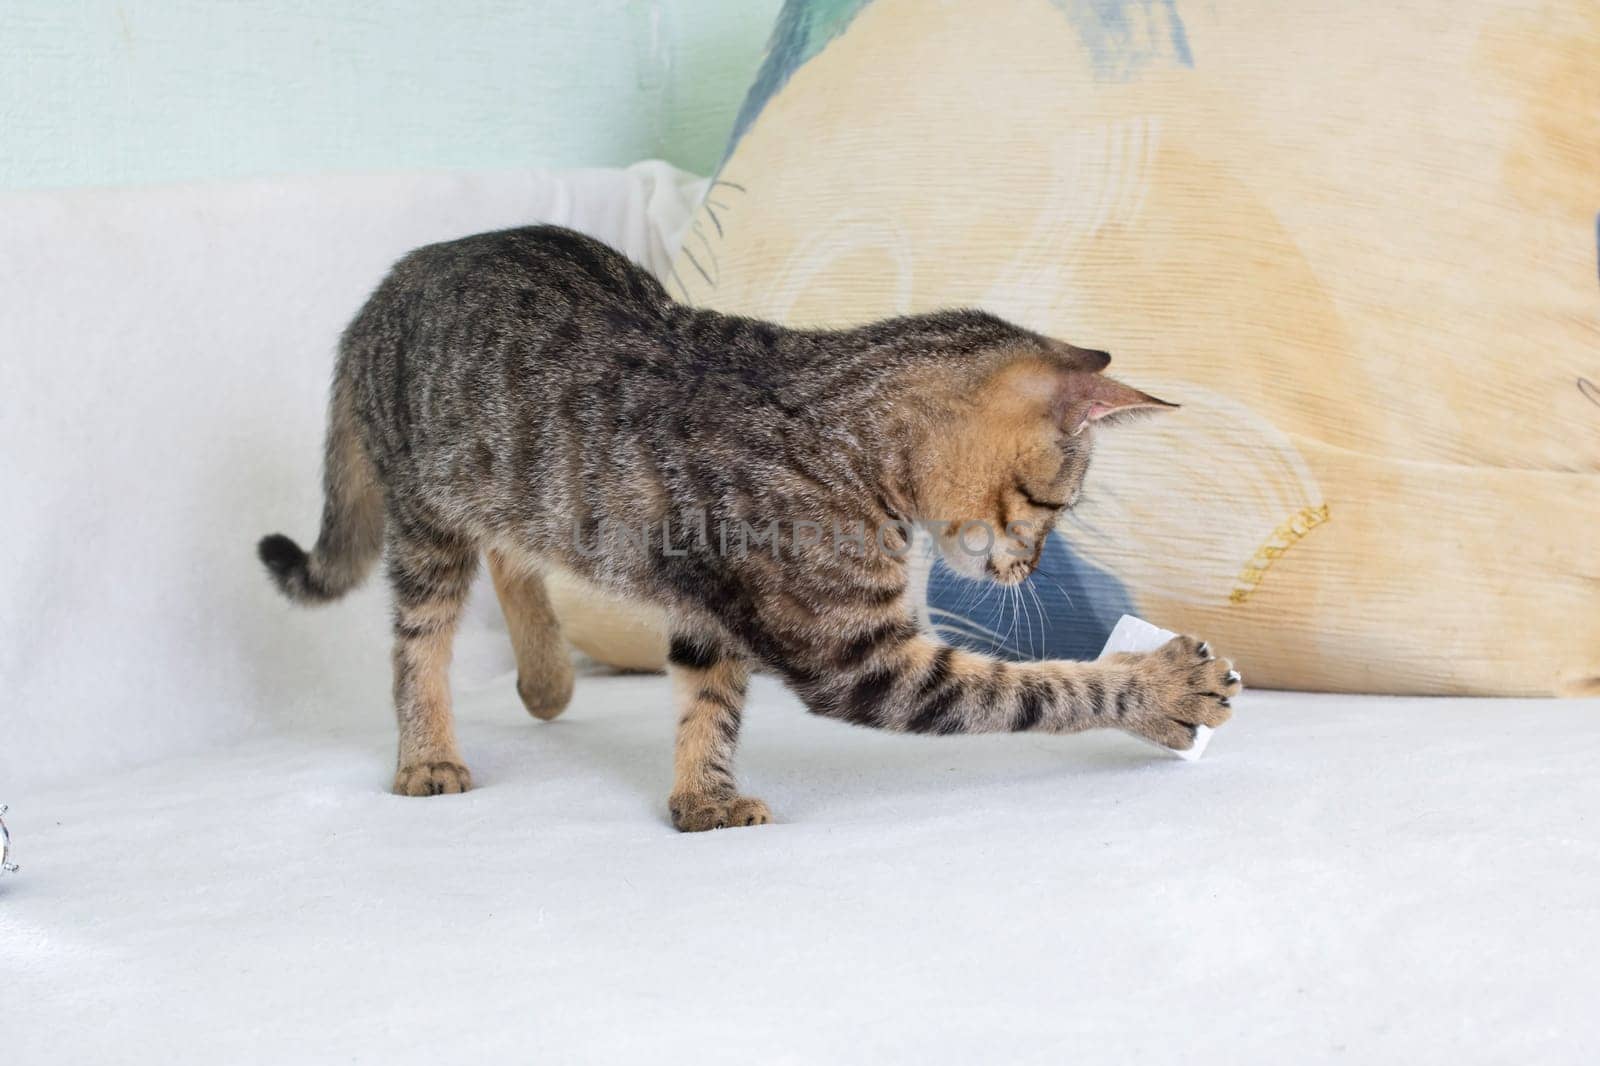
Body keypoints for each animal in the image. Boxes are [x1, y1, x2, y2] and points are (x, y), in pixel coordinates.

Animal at [259, 224, 1235, 825]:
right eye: (1056, 506)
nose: (1029, 571)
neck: (842, 425)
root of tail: (388, 287)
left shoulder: (712, 609)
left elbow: (709, 705)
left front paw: (704, 801)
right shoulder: (858, 657)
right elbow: (1037, 689)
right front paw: (1160, 691)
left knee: (516, 552)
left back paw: (546, 680)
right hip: (427, 519)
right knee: (419, 642)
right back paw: (428, 756)